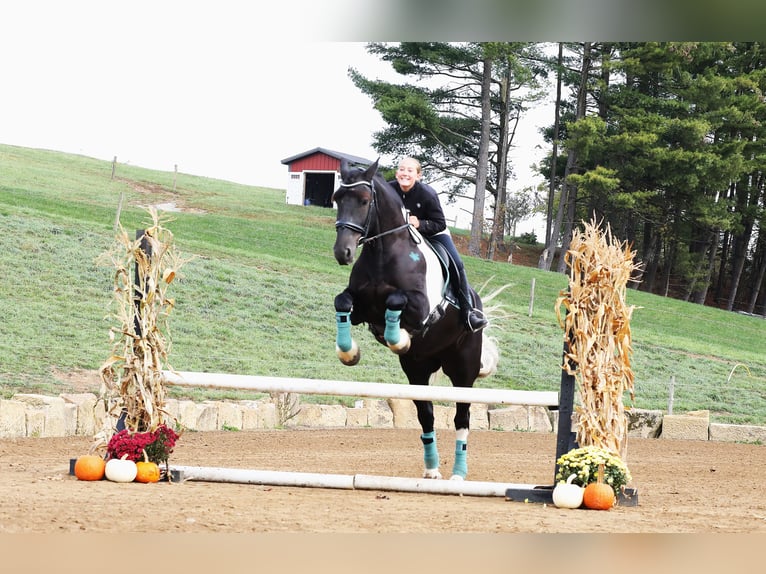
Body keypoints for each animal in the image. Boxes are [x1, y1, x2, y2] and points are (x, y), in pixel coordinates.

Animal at [332, 158, 500, 482]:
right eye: (336, 199)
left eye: (364, 200)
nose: (342, 252)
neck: (383, 252)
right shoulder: (359, 308)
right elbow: (342, 303)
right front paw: (349, 352)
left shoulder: (422, 308)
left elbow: (396, 301)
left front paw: (399, 339)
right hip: (417, 371)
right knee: (426, 416)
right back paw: (432, 469)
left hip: (463, 369)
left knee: (462, 417)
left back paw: (458, 474)